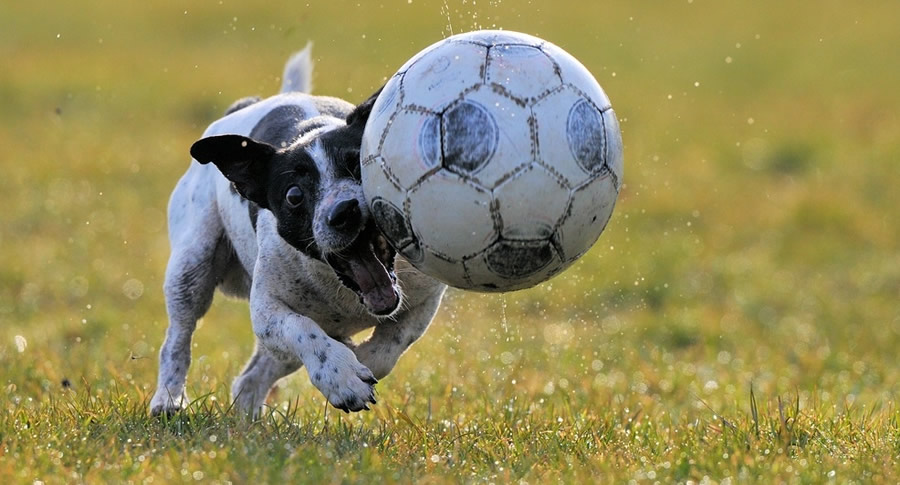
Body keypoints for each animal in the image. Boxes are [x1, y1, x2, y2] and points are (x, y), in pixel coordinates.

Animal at [155, 46, 450, 416]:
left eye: (360, 164)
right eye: (294, 196)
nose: (345, 211)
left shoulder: (424, 297)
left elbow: (392, 343)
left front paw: (360, 360)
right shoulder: (267, 313)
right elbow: (302, 331)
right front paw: (341, 376)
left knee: (251, 378)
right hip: (192, 263)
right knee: (179, 336)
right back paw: (168, 400)